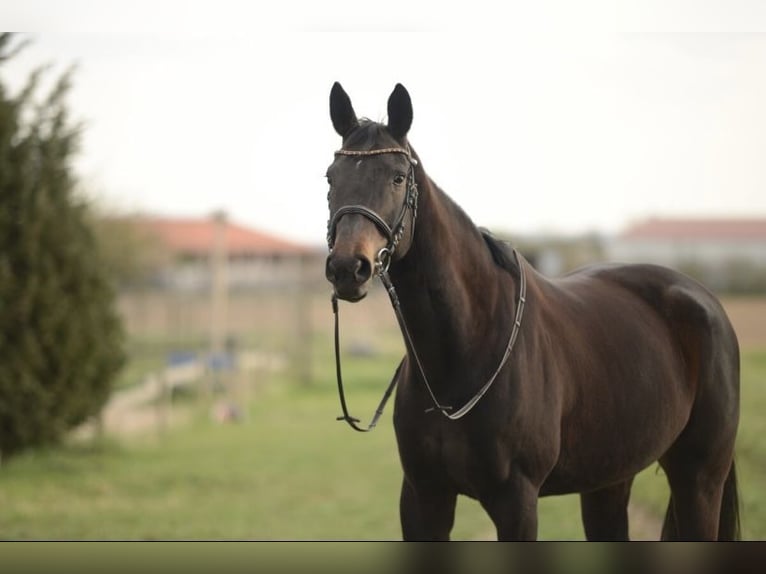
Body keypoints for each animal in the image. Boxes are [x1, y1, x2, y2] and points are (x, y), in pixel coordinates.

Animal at [322, 83, 736, 544]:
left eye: (397, 177)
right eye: (331, 177)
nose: (348, 268)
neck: (465, 350)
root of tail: (704, 300)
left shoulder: (516, 502)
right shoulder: (422, 497)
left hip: (699, 478)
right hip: (610, 479)